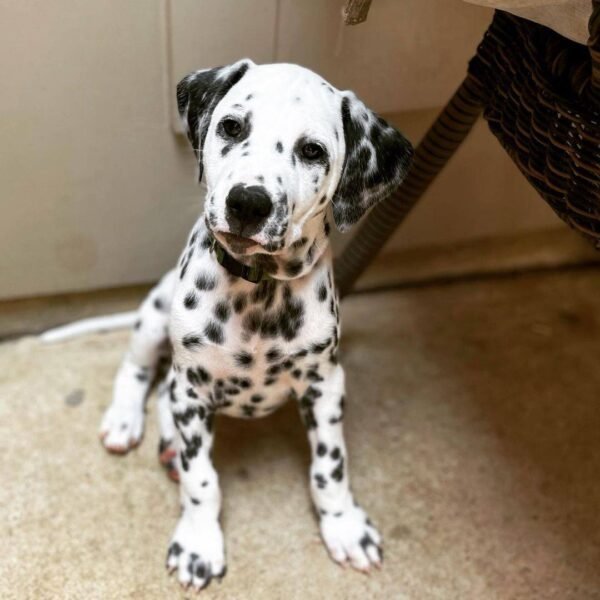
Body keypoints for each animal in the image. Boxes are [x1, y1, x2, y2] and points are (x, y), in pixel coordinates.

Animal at [98, 61, 412, 592]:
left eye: (312, 151)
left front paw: (343, 525)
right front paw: (199, 544)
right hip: (155, 316)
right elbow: (202, 479)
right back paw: (126, 420)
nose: (248, 203)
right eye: (231, 126)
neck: (259, 291)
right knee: (139, 372)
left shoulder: (326, 385)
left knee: (161, 391)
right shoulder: (193, 389)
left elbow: (330, 467)